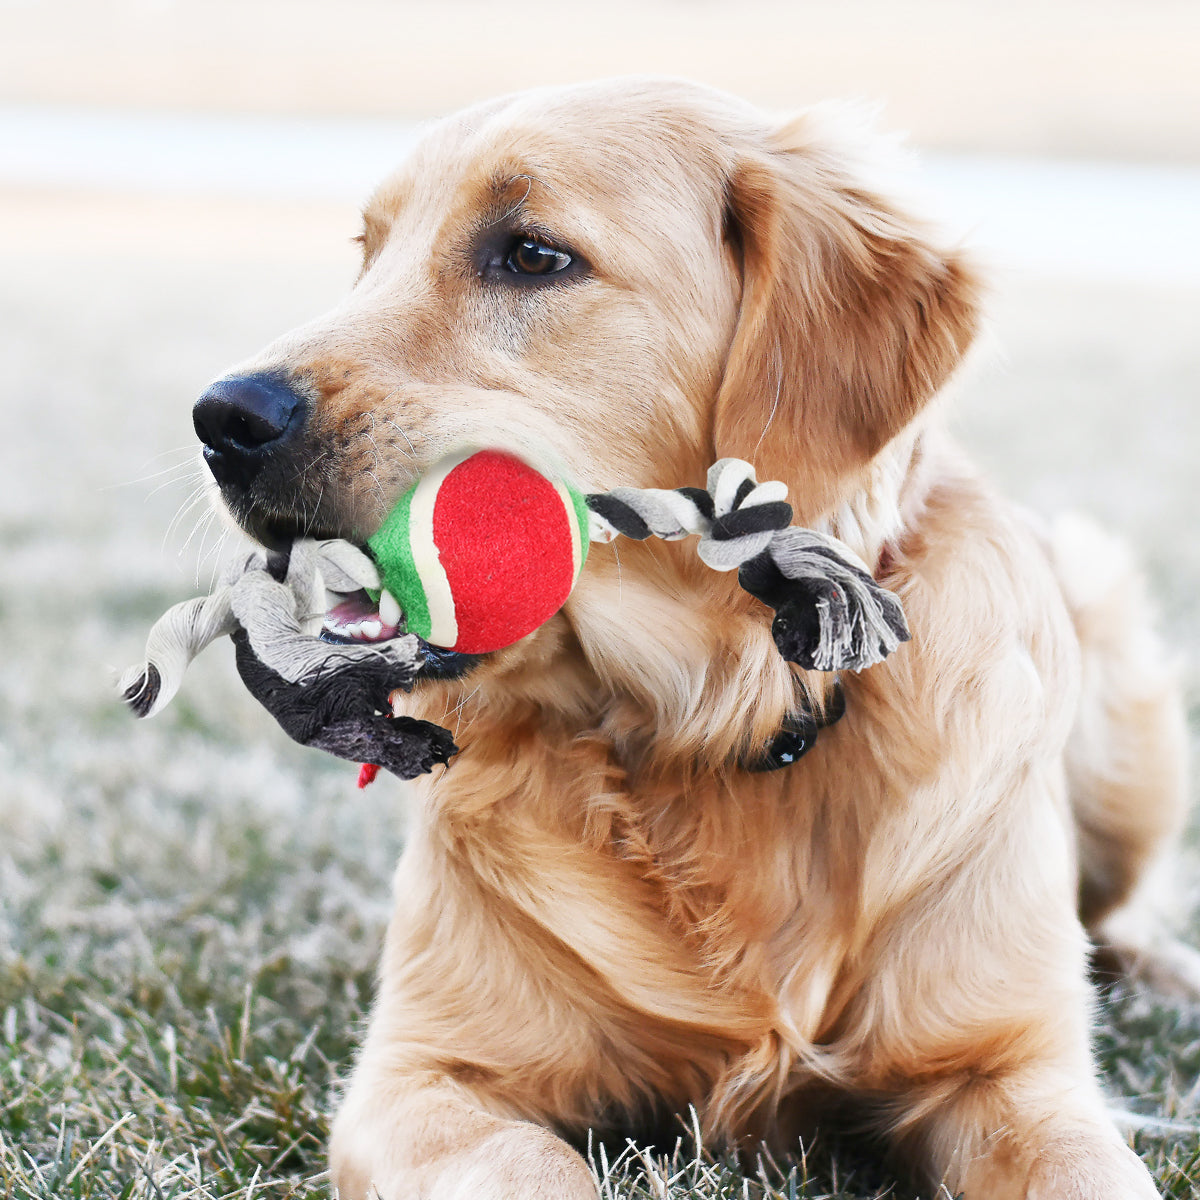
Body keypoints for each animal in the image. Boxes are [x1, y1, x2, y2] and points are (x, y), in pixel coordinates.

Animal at [189, 79, 1190, 1195]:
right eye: (369, 252)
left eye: (530, 254)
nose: (221, 419)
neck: (712, 724)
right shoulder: (423, 1076)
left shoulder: (1010, 1070)